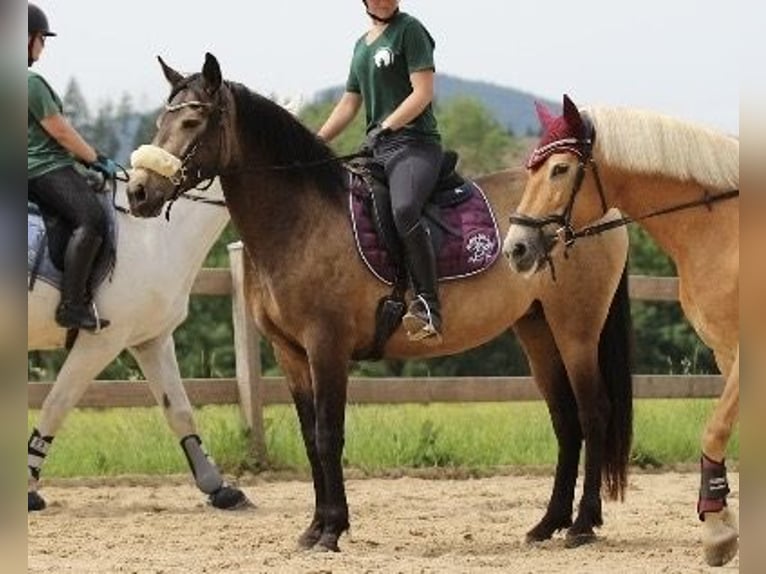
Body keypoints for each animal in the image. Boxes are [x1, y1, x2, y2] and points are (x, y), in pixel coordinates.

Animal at [27, 180, 251, 512]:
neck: (156, 236)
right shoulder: (103, 341)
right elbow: (57, 405)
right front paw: (28, 490)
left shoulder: (152, 341)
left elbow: (180, 411)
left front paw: (219, 488)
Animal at [125, 53, 634, 551]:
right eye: (160, 121)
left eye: (193, 121)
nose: (138, 191)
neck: (301, 221)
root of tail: (600, 211)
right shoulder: (289, 352)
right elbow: (310, 437)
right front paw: (314, 528)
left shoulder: (327, 345)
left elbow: (329, 434)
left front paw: (331, 530)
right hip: (537, 329)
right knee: (566, 421)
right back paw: (547, 524)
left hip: (576, 330)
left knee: (593, 414)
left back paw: (583, 525)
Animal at [502, 95, 739, 566]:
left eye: (559, 169)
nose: (516, 248)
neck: (724, 230)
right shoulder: (725, 354)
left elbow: (715, 429)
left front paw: (718, 532)